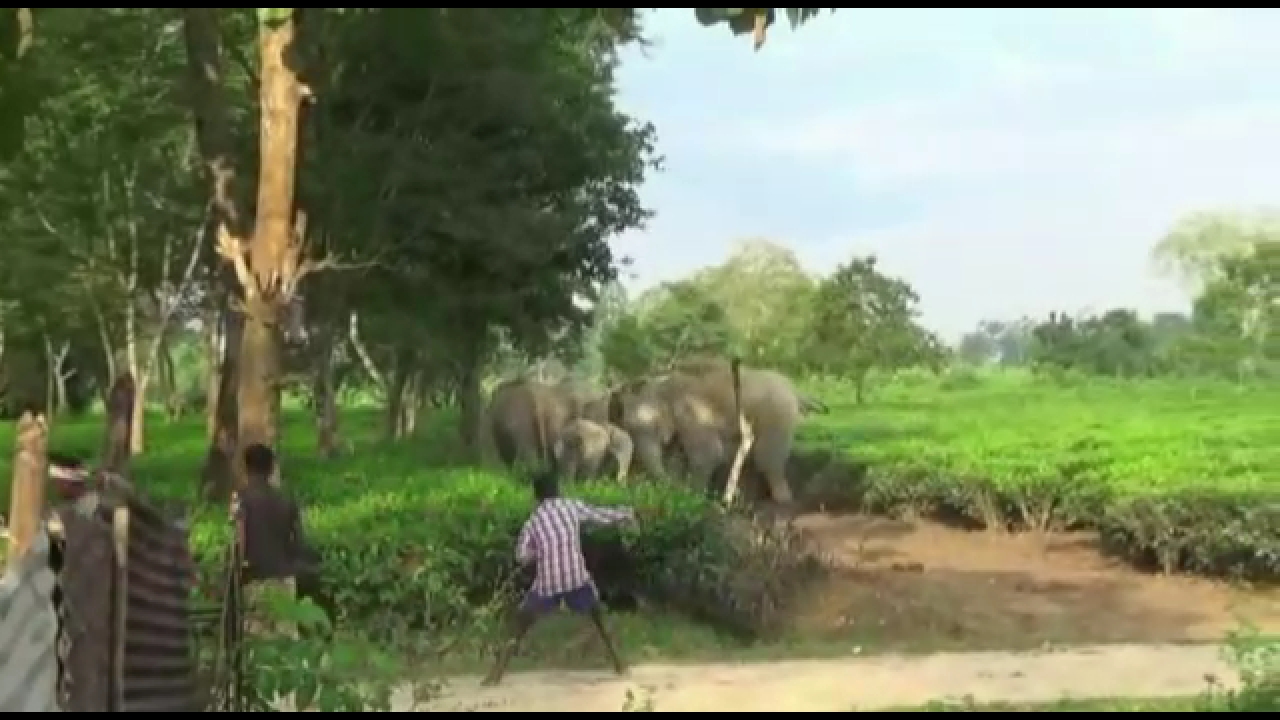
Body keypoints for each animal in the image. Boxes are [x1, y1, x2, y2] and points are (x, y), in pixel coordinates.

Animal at [604, 356, 814, 502]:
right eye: (629, 429)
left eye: (650, 427)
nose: (668, 489)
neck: (661, 384)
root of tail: (794, 388)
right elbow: (679, 455)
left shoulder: (691, 413)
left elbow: (709, 454)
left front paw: (693, 494)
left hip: (777, 413)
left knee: (768, 457)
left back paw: (782, 498)